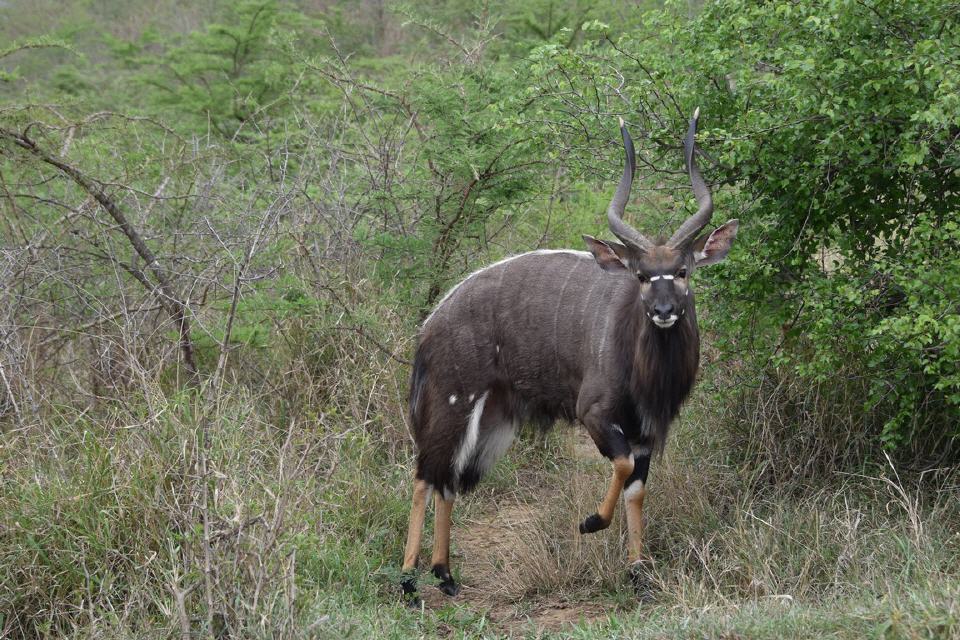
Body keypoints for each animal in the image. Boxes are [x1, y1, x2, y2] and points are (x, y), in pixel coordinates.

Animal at [402, 109, 740, 600]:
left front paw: (638, 571)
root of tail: (430, 325)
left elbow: (637, 489)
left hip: (492, 417)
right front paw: (591, 522)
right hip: (453, 400)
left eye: (681, 271)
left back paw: (445, 575)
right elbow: (620, 465)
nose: (663, 312)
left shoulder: (645, 432)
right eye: (642, 275)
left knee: (448, 478)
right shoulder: (595, 414)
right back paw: (409, 581)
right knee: (426, 473)